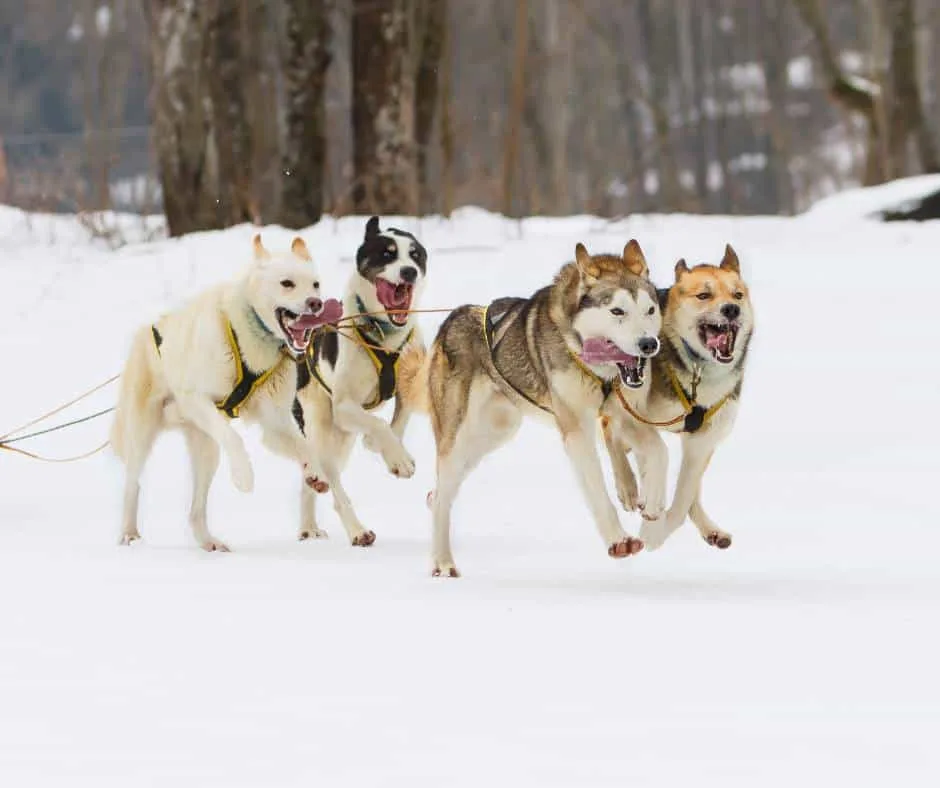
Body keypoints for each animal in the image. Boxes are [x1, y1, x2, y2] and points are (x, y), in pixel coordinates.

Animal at [111, 234, 342, 552]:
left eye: (315, 284)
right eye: (287, 283)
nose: (315, 303)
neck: (253, 340)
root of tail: (146, 331)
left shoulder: (275, 424)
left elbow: (305, 446)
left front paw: (315, 473)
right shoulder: (197, 400)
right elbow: (233, 437)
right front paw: (244, 476)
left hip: (207, 452)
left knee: (195, 511)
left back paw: (209, 542)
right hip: (141, 436)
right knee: (132, 484)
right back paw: (128, 534)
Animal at [294, 215, 430, 548]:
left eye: (416, 255)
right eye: (387, 254)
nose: (409, 271)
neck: (383, 335)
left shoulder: (409, 386)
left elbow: (397, 423)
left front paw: (387, 449)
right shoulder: (344, 406)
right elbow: (379, 424)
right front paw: (399, 459)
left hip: (342, 441)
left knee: (311, 483)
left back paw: (309, 526)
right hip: (321, 426)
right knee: (333, 485)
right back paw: (357, 530)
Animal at [604, 243, 756, 552]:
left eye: (737, 294)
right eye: (704, 295)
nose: (731, 309)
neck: (698, 371)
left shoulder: (703, 441)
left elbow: (684, 496)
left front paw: (656, 530)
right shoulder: (634, 417)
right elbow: (651, 456)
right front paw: (650, 524)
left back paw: (709, 528)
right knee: (610, 433)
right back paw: (629, 488)